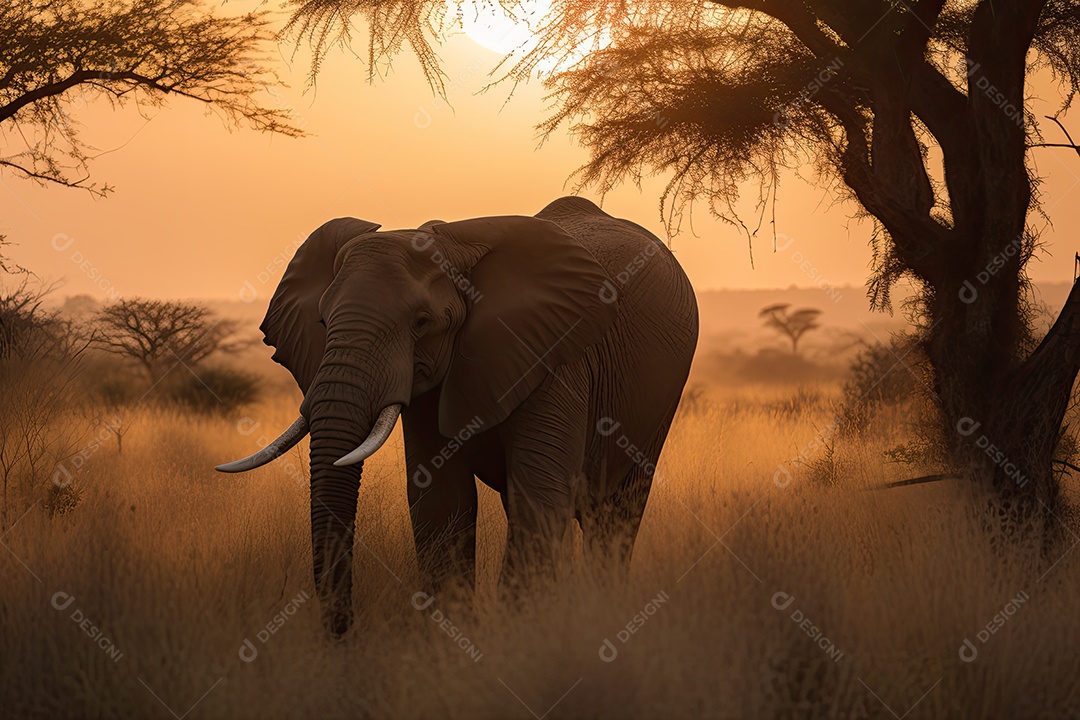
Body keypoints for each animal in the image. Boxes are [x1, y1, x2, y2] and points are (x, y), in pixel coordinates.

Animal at [217, 196, 698, 637]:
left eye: (421, 322)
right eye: (321, 321)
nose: (344, 635)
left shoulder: (556, 358)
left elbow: (537, 498)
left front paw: (516, 640)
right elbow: (440, 502)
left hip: (660, 401)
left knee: (616, 513)